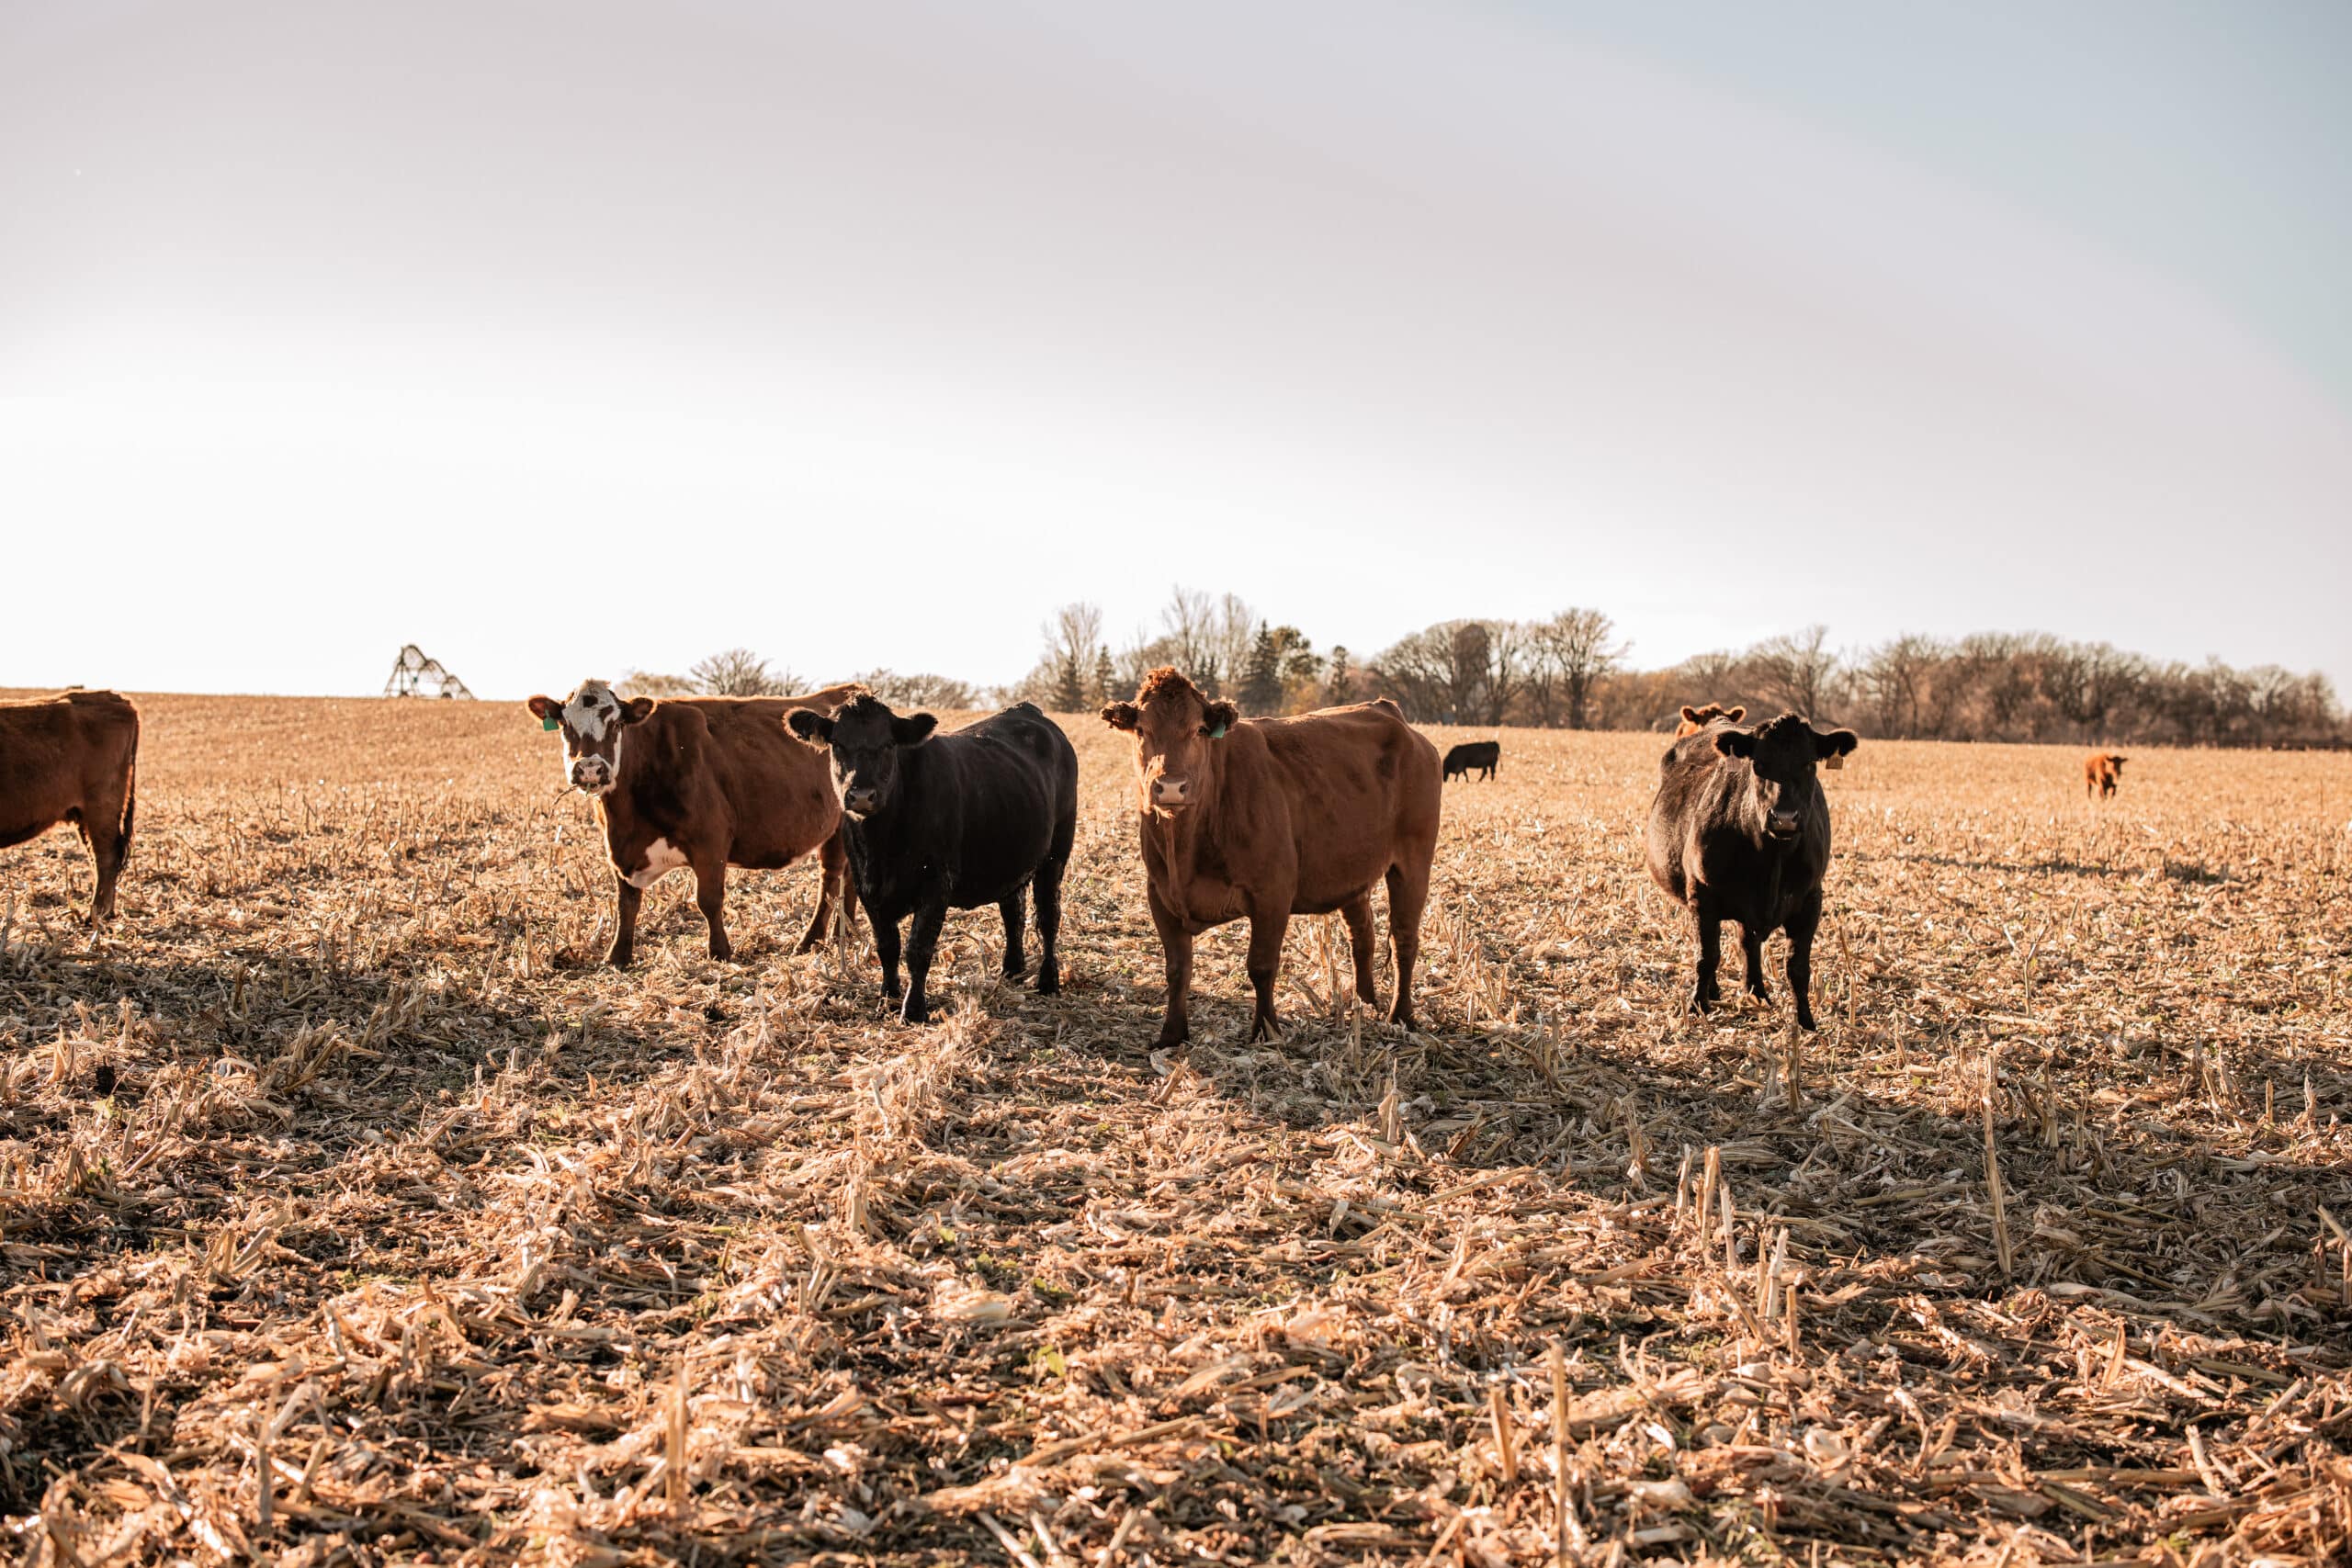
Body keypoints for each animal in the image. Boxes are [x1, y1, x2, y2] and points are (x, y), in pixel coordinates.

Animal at [1, 690, 138, 922]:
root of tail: (115, 698)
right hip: (84, 816)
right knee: (98, 857)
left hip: (101, 809)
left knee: (105, 857)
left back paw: (96, 914)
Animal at [524, 679, 861, 967]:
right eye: (566, 724)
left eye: (617, 723)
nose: (591, 768)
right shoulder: (618, 849)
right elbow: (626, 903)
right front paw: (618, 956)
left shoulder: (710, 842)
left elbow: (708, 900)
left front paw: (720, 952)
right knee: (849, 875)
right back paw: (845, 933)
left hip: (837, 829)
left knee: (830, 880)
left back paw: (810, 940)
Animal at [786, 696, 1077, 1023]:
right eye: (837, 744)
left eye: (888, 744)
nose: (861, 795)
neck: (882, 847)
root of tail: (1027, 709)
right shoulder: (867, 887)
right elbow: (887, 947)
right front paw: (887, 999)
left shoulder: (936, 884)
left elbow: (918, 949)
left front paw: (913, 1010)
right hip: (1012, 858)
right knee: (1013, 913)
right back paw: (1011, 970)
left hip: (1056, 853)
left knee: (1048, 917)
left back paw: (1048, 982)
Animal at [1101, 668, 1441, 1046]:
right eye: (1141, 730)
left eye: (1199, 730)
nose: (1171, 786)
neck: (1185, 847)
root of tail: (1389, 712)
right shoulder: (1160, 895)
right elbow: (1177, 969)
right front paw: (1171, 1034)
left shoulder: (1272, 894)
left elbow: (1261, 966)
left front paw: (1266, 1030)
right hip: (1352, 870)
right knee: (1362, 937)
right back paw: (1365, 1004)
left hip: (1413, 861)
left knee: (1404, 939)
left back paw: (1401, 1016)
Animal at [1645, 712, 1858, 1029]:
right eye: (1758, 764)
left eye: (1809, 763)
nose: (1784, 818)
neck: (1772, 858)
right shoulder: (1701, 894)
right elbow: (1706, 955)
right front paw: (1697, 1006)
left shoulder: (1810, 899)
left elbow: (1797, 966)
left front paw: (1805, 1020)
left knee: (1748, 943)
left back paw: (1757, 992)